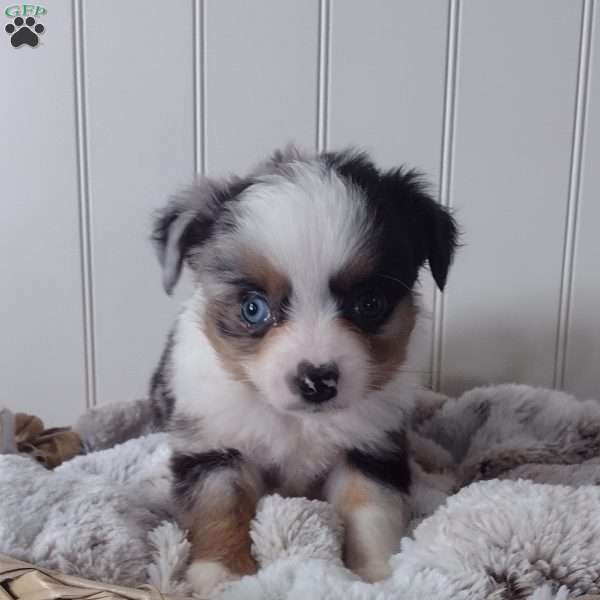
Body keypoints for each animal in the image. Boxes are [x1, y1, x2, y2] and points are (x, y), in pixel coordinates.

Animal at [149, 146, 454, 596]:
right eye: (252, 308)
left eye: (370, 303)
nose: (317, 381)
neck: (299, 422)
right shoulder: (213, 444)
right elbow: (219, 506)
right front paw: (221, 575)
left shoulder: (370, 447)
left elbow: (371, 511)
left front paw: (373, 576)